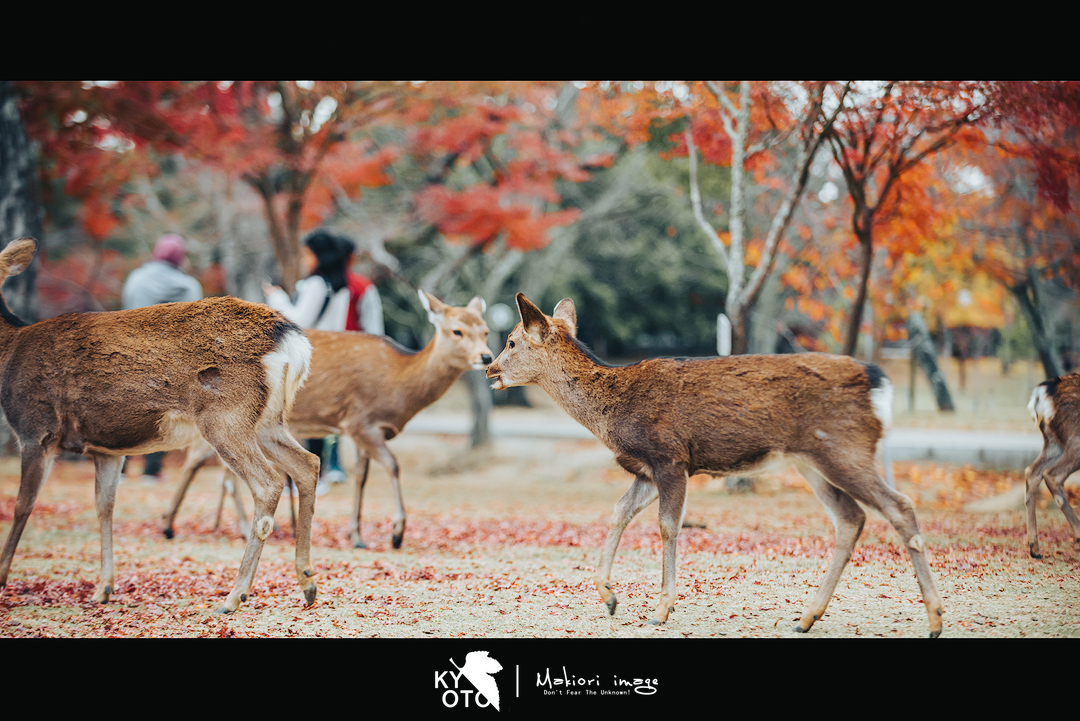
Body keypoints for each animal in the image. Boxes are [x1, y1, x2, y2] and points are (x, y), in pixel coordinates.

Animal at [0, 237, 319, 613]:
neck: (9, 350)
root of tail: (293, 340)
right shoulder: (106, 449)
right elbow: (104, 506)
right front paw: (103, 588)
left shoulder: (35, 430)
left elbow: (22, 505)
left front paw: (3, 579)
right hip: (268, 420)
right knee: (307, 464)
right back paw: (307, 583)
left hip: (227, 416)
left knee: (268, 482)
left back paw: (235, 594)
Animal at [160, 289, 494, 548]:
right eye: (457, 330)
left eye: (486, 330)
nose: (487, 357)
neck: (398, 385)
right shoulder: (360, 421)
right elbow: (393, 465)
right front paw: (397, 534)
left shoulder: (360, 430)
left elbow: (361, 476)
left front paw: (356, 535)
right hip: (226, 412)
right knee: (201, 462)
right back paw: (172, 525)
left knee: (222, 473)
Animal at [483, 293, 946, 634]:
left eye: (511, 341)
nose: (489, 369)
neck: (614, 413)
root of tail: (878, 385)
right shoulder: (646, 470)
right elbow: (618, 512)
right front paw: (609, 596)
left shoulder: (671, 457)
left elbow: (668, 526)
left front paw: (661, 610)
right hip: (812, 461)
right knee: (851, 517)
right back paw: (806, 618)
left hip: (844, 448)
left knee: (900, 505)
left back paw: (935, 619)